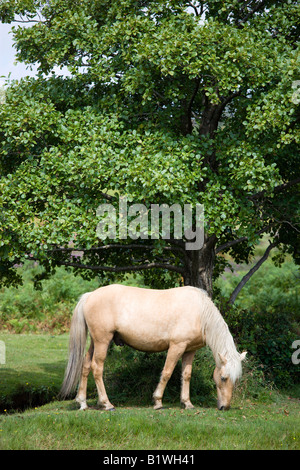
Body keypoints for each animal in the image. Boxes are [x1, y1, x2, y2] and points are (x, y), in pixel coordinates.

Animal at [59, 284, 246, 410]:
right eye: (223, 378)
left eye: (236, 379)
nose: (225, 407)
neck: (200, 312)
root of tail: (90, 295)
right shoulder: (176, 347)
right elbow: (167, 373)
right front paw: (157, 401)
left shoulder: (189, 350)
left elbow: (186, 375)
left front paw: (187, 403)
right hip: (103, 341)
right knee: (97, 368)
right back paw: (107, 403)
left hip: (95, 342)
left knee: (85, 366)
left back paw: (83, 403)